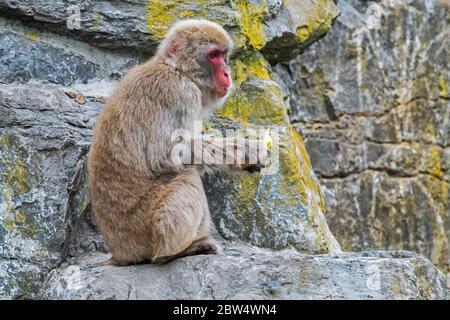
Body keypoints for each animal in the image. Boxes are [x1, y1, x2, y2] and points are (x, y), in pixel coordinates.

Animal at [88, 18, 268, 266]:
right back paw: (175, 251)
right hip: (141, 229)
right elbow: (164, 155)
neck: (177, 70)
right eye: (213, 55)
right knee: (186, 177)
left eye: (223, 55)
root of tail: (121, 253)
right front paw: (244, 149)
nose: (227, 73)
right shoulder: (178, 92)